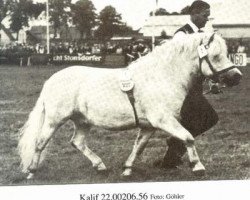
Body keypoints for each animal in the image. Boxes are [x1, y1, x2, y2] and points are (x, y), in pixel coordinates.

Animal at [18, 32, 241, 178]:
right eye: (216, 56)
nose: (236, 77)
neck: (162, 77)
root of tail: (51, 80)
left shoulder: (149, 126)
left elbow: (138, 147)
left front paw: (127, 169)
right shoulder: (163, 120)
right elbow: (188, 137)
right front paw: (198, 167)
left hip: (82, 120)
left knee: (77, 142)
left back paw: (100, 166)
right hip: (54, 120)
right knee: (40, 142)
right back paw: (31, 172)